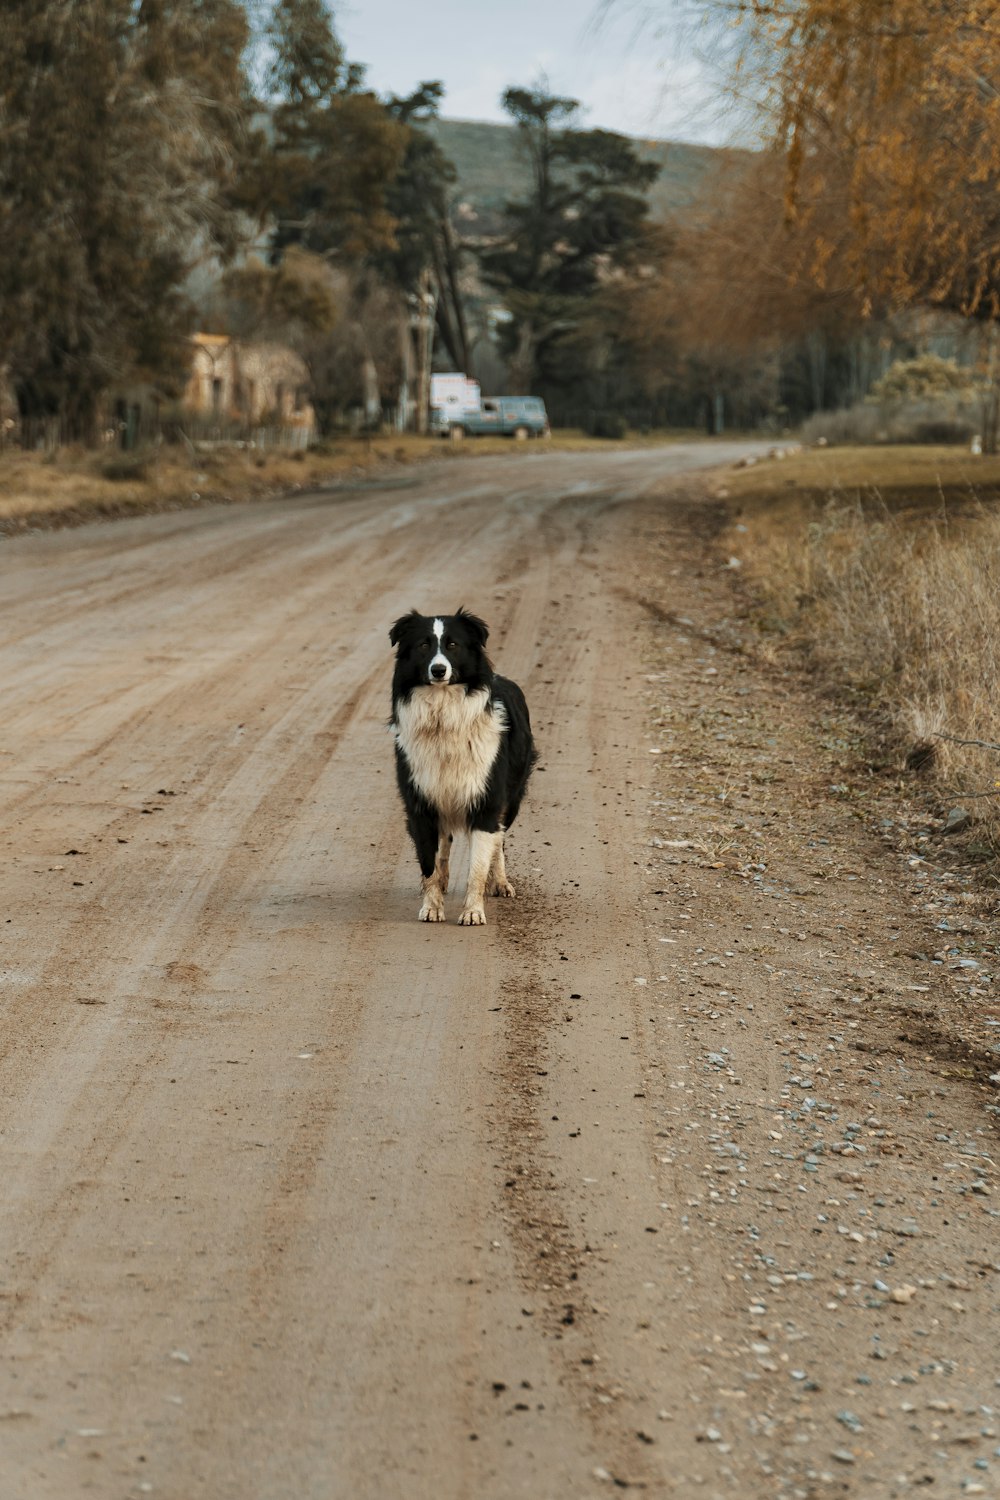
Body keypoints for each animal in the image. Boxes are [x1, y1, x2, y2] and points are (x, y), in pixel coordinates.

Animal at [389, 609, 536, 924]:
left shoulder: (486, 799)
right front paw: (432, 906)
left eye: (453, 645)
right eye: (423, 645)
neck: (443, 715)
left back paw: (500, 882)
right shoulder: (421, 799)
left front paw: (473, 912)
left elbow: (477, 867)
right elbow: (429, 863)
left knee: (499, 838)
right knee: (445, 842)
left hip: (512, 797)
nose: (438, 671)